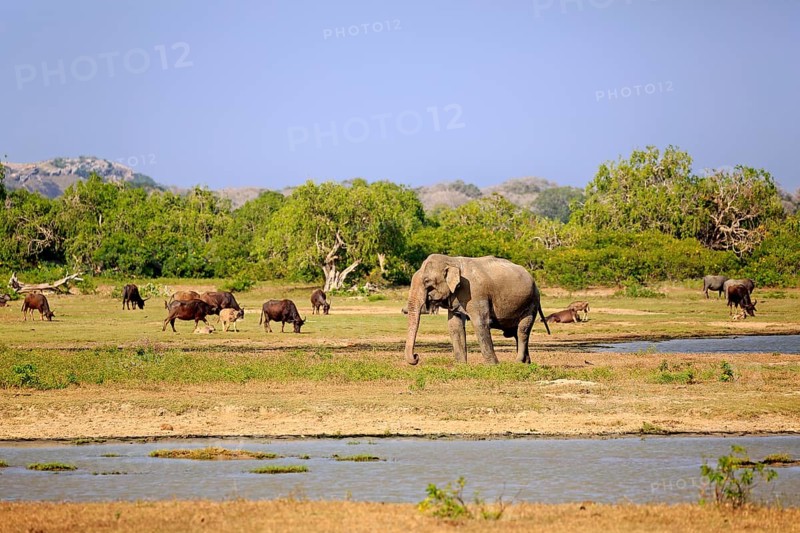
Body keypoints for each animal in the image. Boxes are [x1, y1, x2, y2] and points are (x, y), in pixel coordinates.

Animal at [404, 254, 550, 365]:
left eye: (427, 282)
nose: (416, 356)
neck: (452, 260)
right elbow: (454, 326)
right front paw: (461, 365)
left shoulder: (476, 293)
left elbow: (480, 323)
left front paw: (493, 365)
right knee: (516, 332)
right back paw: (526, 363)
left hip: (532, 302)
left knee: (522, 330)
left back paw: (517, 362)